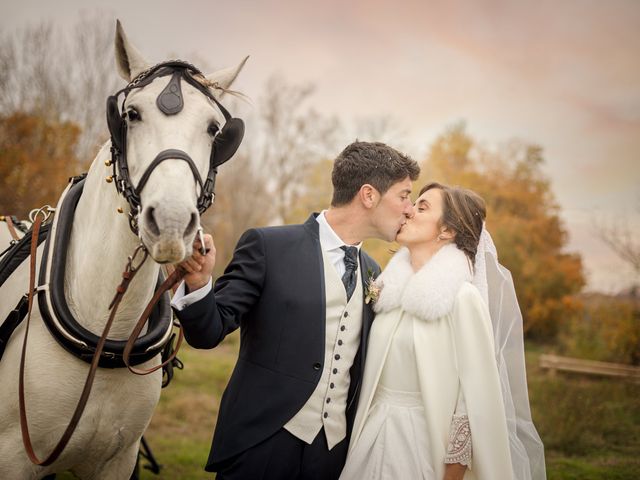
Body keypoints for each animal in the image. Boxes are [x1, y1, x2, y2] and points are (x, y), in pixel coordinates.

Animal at [0, 20, 246, 478]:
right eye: (131, 114)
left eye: (213, 129)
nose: (171, 223)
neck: (102, 338)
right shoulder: (13, 460)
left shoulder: (116, 460)